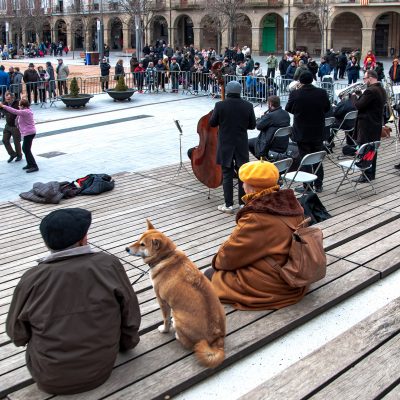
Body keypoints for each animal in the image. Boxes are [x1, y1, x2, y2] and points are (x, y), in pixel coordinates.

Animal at [126, 220, 225, 368]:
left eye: (142, 244)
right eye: (138, 239)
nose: (126, 248)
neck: (165, 257)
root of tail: (217, 337)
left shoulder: (162, 301)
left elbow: (165, 319)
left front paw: (164, 329)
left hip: (177, 315)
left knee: (188, 342)